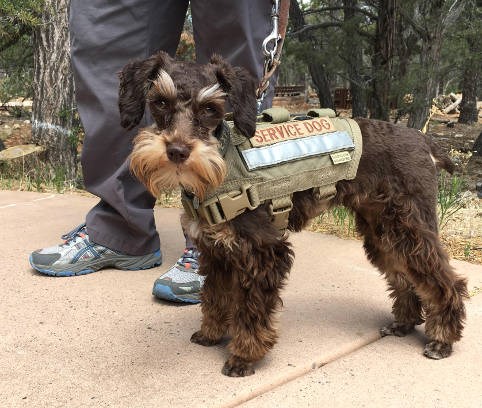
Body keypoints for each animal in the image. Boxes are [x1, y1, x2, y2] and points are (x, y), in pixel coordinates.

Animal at [116, 51, 466, 376]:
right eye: (160, 103)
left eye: (209, 109)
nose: (177, 151)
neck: (223, 162)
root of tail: (424, 140)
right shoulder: (217, 252)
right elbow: (214, 296)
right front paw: (211, 333)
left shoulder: (264, 253)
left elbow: (251, 311)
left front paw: (244, 356)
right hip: (384, 234)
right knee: (404, 276)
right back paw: (404, 323)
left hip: (411, 229)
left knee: (445, 279)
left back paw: (442, 339)